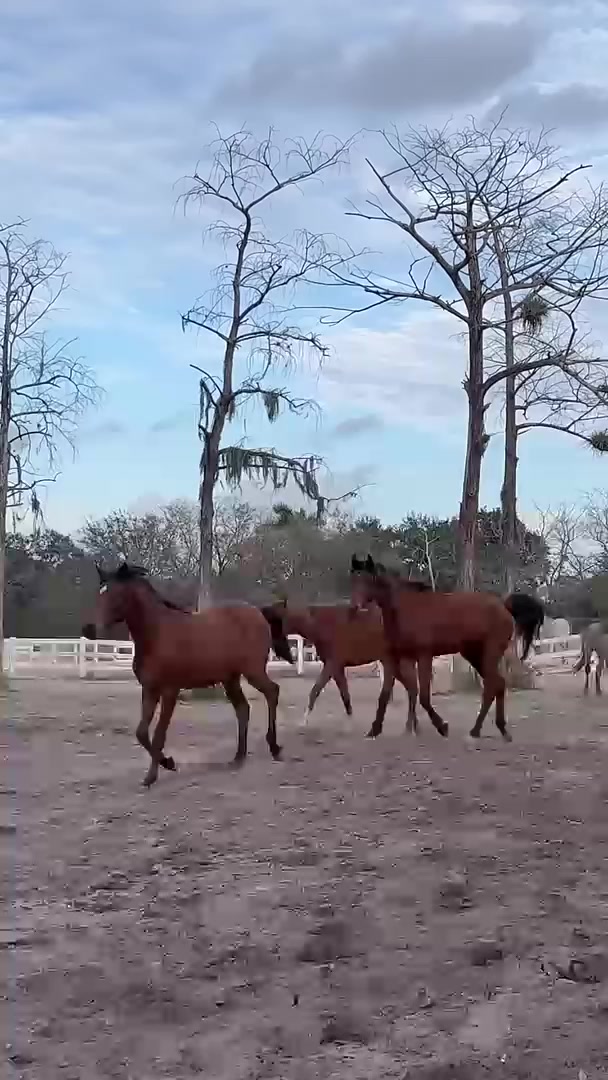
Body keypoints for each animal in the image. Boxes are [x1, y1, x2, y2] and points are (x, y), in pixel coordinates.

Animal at [82, 561, 294, 787]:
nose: (89, 630)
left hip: (253, 671)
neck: (157, 633)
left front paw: (155, 774)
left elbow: (158, 734)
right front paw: (167, 763)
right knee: (243, 709)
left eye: (116, 595)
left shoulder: (169, 691)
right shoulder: (150, 689)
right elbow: (141, 733)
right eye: (99, 593)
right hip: (230, 679)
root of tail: (258, 613)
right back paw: (238, 758)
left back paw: (274, 748)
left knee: (272, 692)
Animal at [264, 598, 425, 737]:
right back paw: (413, 726)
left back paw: (410, 727)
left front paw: (303, 723)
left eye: (274, 618)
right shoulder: (336, 668)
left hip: (400, 662)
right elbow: (344, 694)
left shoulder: (332, 664)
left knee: (412, 688)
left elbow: (315, 691)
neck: (321, 625)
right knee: (411, 688)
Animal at [350, 555, 545, 742]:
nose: (355, 607)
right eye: (353, 578)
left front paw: (442, 727)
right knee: (497, 684)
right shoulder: (399, 658)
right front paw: (376, 730)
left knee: (493, 685)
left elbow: (424, 696)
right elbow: (389, 695)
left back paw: (481, 731)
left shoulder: (424, 656)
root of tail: (503, 606)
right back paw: (490, 730)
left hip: (489, 652)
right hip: (474, 654)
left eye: (368, 579)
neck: (406, 608)